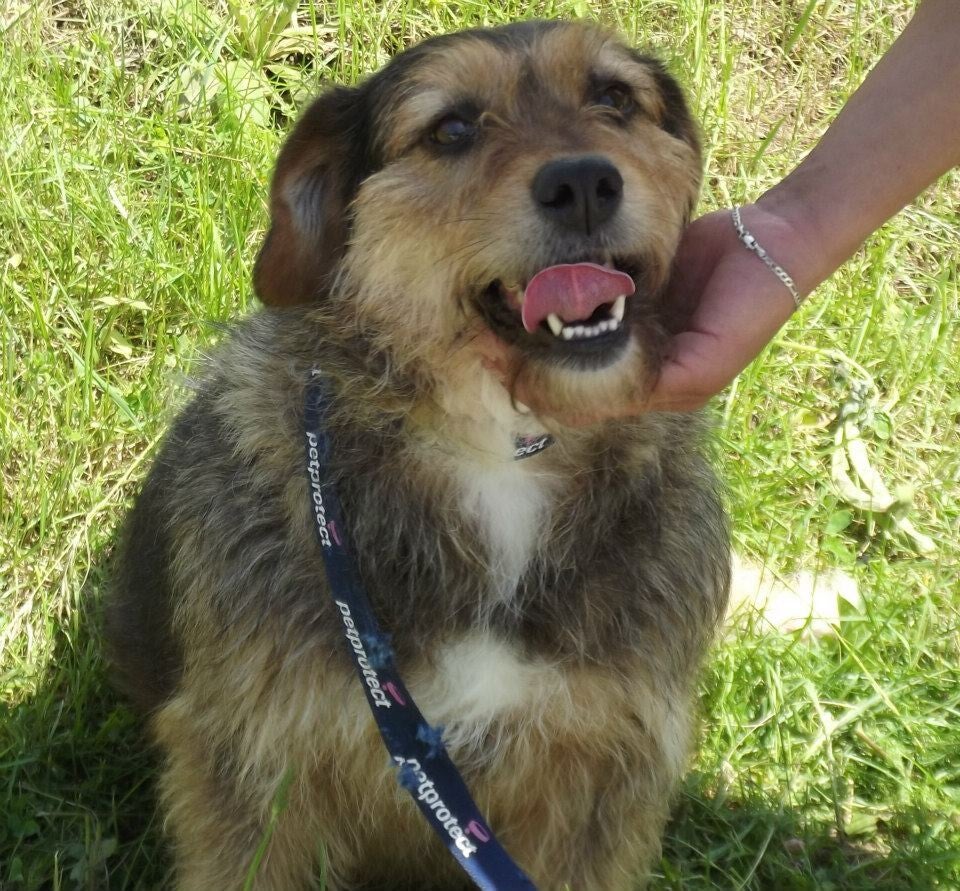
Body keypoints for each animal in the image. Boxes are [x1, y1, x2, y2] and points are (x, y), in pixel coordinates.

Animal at [106, 20, 729, 890]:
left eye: (614, 97)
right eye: (452, 129)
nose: (583, 183)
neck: (503, 451)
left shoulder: (599, 779)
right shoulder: (258, 771)